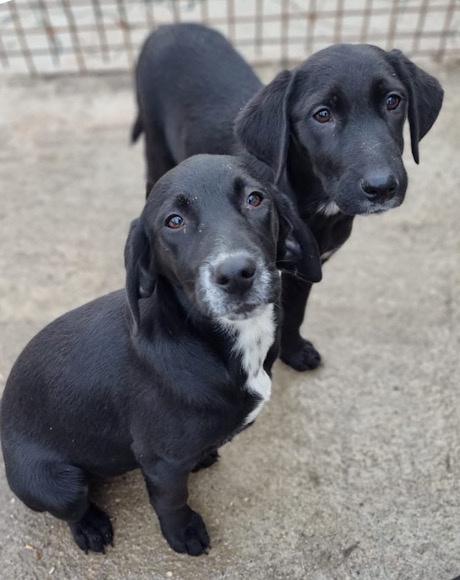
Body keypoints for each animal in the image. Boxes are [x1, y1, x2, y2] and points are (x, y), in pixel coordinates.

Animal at [1, 154, 321, 556]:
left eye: (255, 199)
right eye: (174, 221)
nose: (235, 274)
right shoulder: (162, 463)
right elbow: (171, 501)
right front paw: (182, 533)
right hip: (58, 484)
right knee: (73, 508)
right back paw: (89, 527)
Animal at [132, 23, 443, 372]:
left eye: (393, 101)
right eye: (322, 115)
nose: (382, 187)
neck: (317, 206)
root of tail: (168, 27)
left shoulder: (307, 266)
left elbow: (295, 312)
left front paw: (293, 352)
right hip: (156, 148)